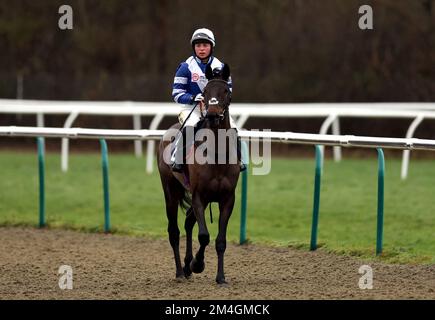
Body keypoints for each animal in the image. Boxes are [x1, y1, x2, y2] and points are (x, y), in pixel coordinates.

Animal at [157, 63, 240, 284]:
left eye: (226, 91)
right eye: (205, 92)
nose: (212, 114)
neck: (216, 153)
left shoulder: (227, 199)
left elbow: (220, 240)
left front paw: (220, 277)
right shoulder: (199, 197)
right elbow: (204, 236)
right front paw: (198, 264)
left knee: (187, 222)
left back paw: (186, 267)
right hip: (170, 191)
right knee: (174, 231)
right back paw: (180, 271)